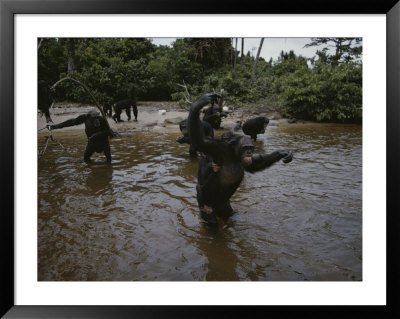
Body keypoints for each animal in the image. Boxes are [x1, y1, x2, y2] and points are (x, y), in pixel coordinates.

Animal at [189, 94, 292, 226]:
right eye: (245, 148)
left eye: (251, 148)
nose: (249, 153)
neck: (234, 155)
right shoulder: (218, 149)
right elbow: (200, 142)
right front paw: (200, 102)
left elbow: (254, 164)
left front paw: (282, 153)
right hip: (207, 206)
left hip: (224, 205)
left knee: (230, 214)